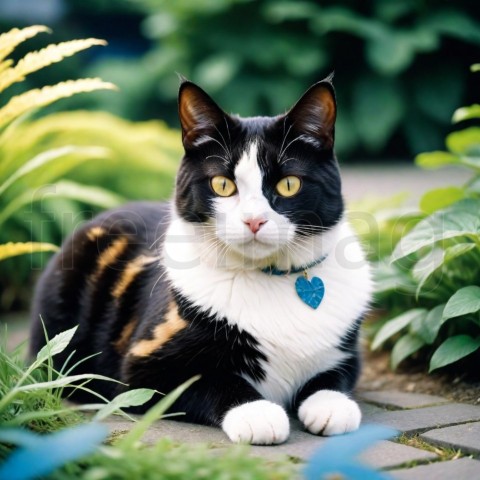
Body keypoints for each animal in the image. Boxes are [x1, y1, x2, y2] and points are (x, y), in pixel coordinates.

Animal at [30, 76, 374, 446]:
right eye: (222, 184)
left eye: (289, 184)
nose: (254, 220)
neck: (269, 276)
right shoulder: (144, 364)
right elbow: (213, 378)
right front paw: (257, 412)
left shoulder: (347, 352)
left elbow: (332, 376)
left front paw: (332, 405)